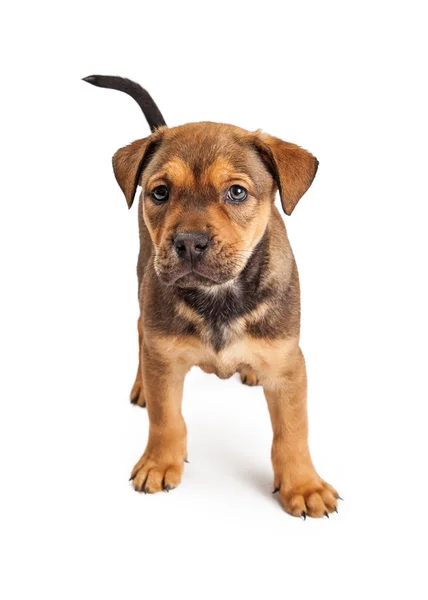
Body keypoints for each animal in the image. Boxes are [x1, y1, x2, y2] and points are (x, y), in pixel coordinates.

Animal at [83, 74, 338, 516]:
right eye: (160, 193)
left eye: (236, 192)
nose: (189, 243)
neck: (220, 294)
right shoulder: (165, 356)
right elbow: (166, 419)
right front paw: (159, 462)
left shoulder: (289, 365)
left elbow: (292, 432)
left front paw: (304, 485)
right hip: (144, 277)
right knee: (140, 327)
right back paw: (141, 385)